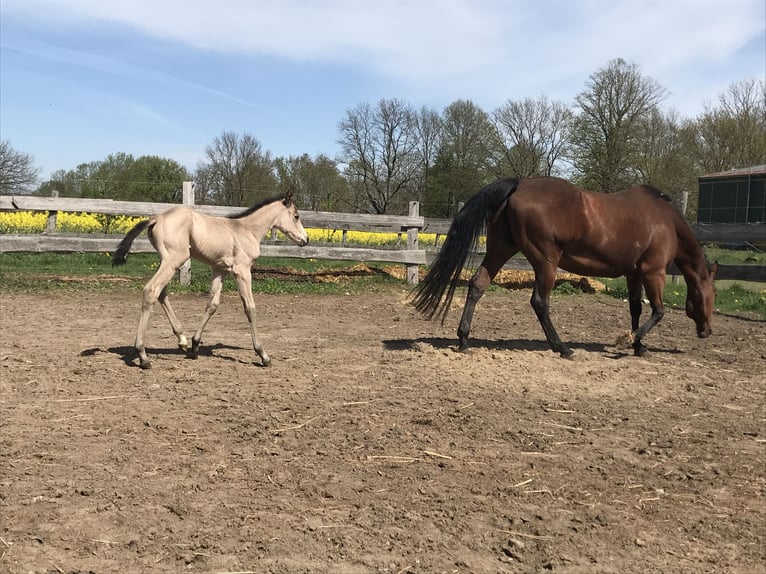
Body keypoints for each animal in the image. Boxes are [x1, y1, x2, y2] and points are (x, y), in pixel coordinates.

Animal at [112, 190, 309, 369]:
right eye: (296, 216)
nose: (305, 240)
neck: (246, 231)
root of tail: (157, 218)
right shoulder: (242, 271)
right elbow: (249, 307)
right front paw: (263, 355)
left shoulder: (219, 270)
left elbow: (212, 304)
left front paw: (195, 346)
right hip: (174, 260)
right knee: (151, 291)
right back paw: (143, 355)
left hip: (167, 261)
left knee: (162, 293)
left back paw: (182, 340)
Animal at [413, 177, 717, 358]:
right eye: (712, 295)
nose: (707, 331)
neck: (666, 222)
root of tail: (519, 185)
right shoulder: (653, 272)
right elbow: (658, 311)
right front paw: (627, 341)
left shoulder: (634, 273)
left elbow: (636, 310)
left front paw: (639, 346)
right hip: (546, 261)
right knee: (539, 302)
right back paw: (561, 347)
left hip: (500, 250)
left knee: (478, 284)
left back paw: (464, 340)